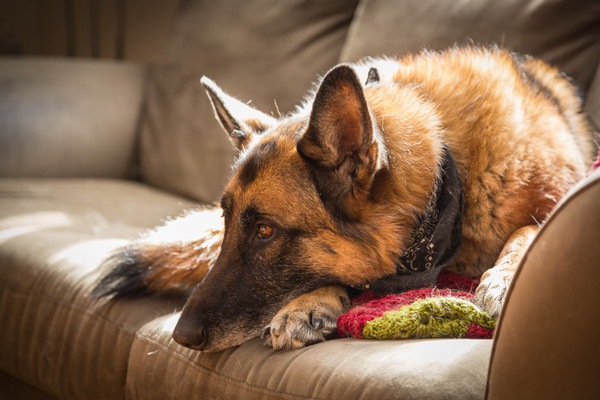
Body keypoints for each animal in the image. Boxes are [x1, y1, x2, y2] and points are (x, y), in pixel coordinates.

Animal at [94, 47, 596, 352]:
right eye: (226, 222)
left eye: (265, 231)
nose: (180, 336)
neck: (450, 174)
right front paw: (309, 303)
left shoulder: (552, 195)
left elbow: (529, 229)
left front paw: (505, 277)